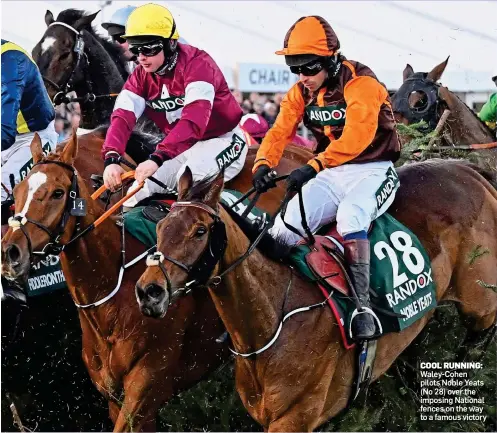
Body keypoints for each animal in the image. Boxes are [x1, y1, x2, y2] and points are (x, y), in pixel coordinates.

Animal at [0, 131, 310, 428]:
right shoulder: (113, 396)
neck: (112, 289)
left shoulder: (146, 387)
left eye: (58, 192)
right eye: (18, 190)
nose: (10, 251)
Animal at [135, 160, 496, 430]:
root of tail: (468, 170)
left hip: (479, 303)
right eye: (161, 227)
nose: (148, 291)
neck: (276, 315)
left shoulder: (295, 418)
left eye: (199, 231)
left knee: (478, 340)